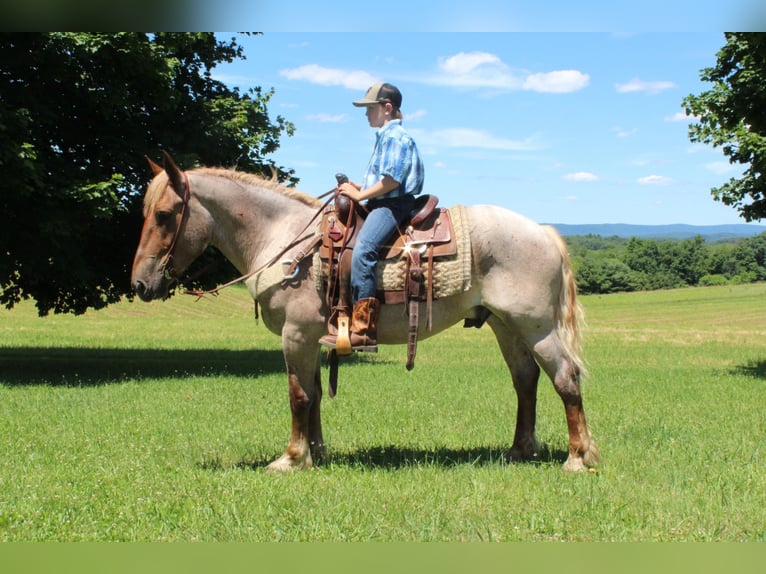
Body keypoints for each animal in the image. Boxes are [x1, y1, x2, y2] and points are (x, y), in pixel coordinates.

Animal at [130, 152, 600, 472]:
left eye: (166, 214)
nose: (139, 284)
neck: (283, 239)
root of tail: (543, 231)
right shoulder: (311, 337)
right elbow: (315, 393)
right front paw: (315, 453)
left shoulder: (295, 335)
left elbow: (298, 395)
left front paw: (290, 458)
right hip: (506, 325)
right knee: (525, 380)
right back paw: (519, 449)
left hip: (537, 327)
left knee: (565, 378)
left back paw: (578, 458)